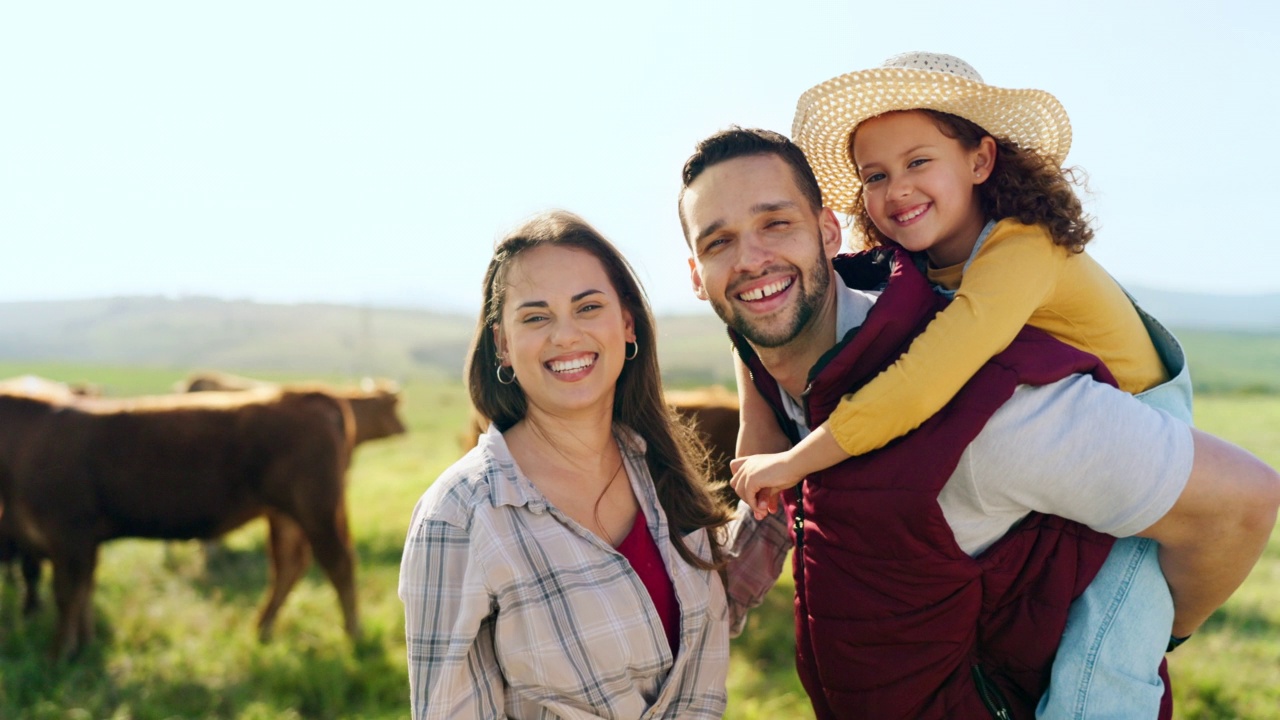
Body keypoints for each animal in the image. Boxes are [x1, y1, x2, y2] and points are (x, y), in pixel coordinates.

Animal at [1, 386, 360, 655]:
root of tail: (300, 394)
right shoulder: (83, 542)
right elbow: (84, 593)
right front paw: (85, 646)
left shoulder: (68, 534)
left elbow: (66, 596)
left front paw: (58, 655)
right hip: (285, 515)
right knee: (289, 565)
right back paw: (263, 629)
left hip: (315, 510)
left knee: (339, 565)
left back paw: (353, 636)